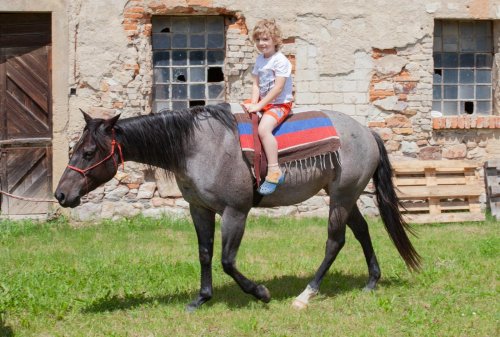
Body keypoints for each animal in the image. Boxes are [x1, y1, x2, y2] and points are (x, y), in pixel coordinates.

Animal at [54, 103, 420, 312]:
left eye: (88, 152)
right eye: (74, 149)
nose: (61, 194)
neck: (196, 145)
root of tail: (367, 132)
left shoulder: (235, 212)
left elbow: (227, 261)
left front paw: (260, 292)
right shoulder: (199, 210)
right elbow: (204, 254)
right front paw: (201, 299)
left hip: (341, 198)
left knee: (335, 241)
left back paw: (306, 295)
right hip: (344, 195)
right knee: (362, 232)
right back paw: (371, 281)